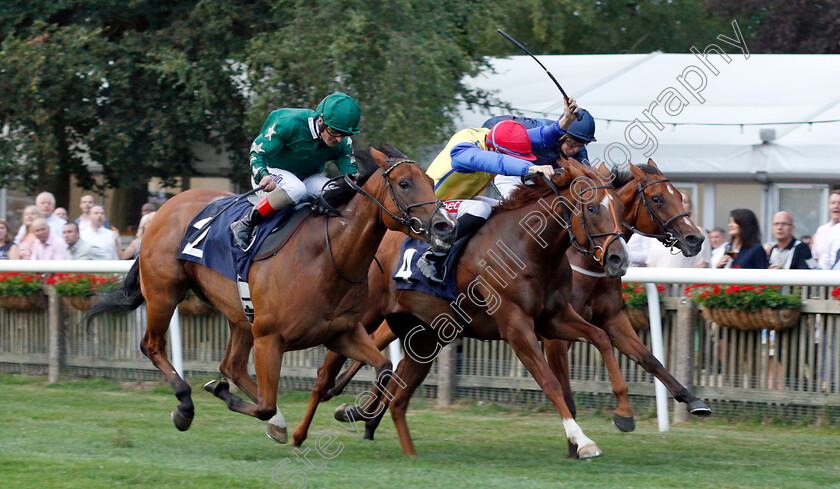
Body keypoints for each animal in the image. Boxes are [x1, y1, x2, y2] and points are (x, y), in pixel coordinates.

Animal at [82, 146, 456, 438]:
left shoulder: (342, 332)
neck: (325, 256)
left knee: (232, 365)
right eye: (404, 183)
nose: (445, 226)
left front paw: (351, 411)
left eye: (430, 181)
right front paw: (226, 397)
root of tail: (164, 209)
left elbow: (384, 368)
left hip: (238, 313)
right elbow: (263, 404)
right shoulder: (269, 337)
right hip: (164, 292)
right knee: (153, 345)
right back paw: (185, 404)